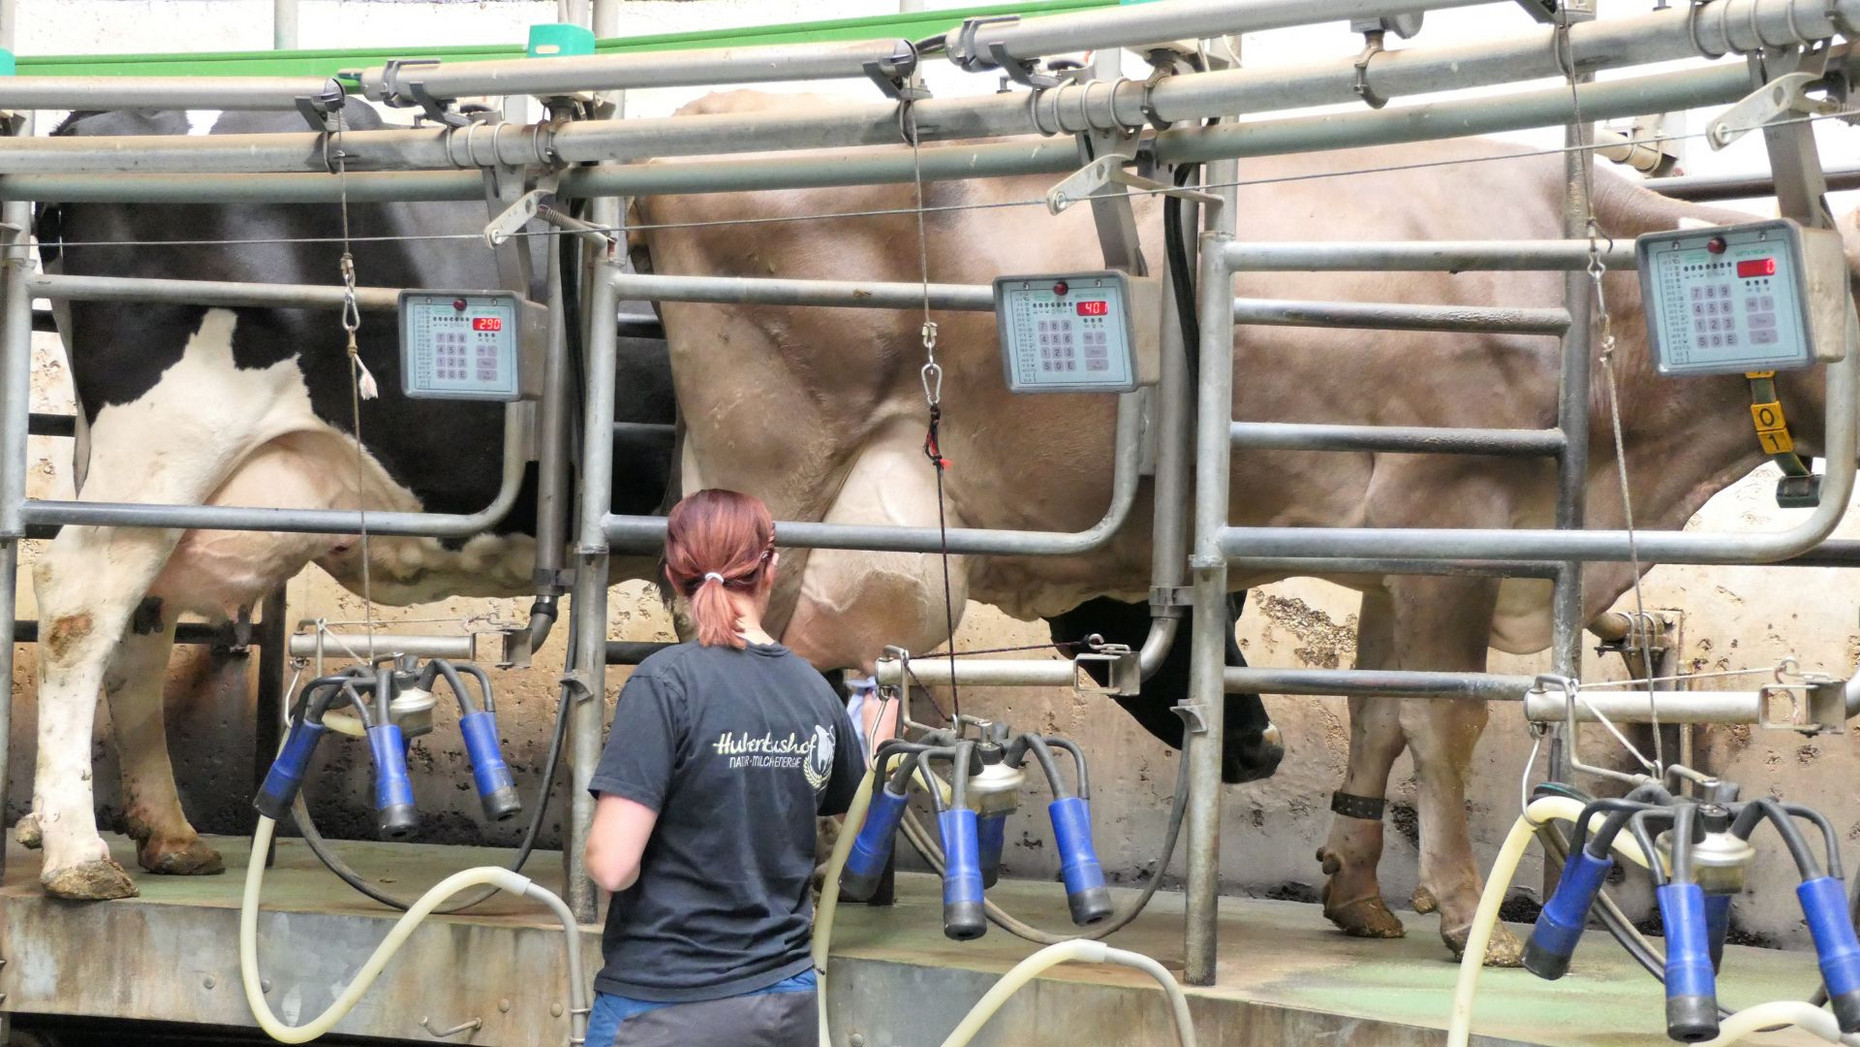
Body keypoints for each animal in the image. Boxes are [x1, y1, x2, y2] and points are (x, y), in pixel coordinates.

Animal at [636, 92, 1860, 967]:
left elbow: (1378, 720)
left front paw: (1357, 888)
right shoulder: (1450, 517)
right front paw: (1470, 911)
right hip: (777, 475)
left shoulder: (1394, 555)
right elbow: (1444, 721)